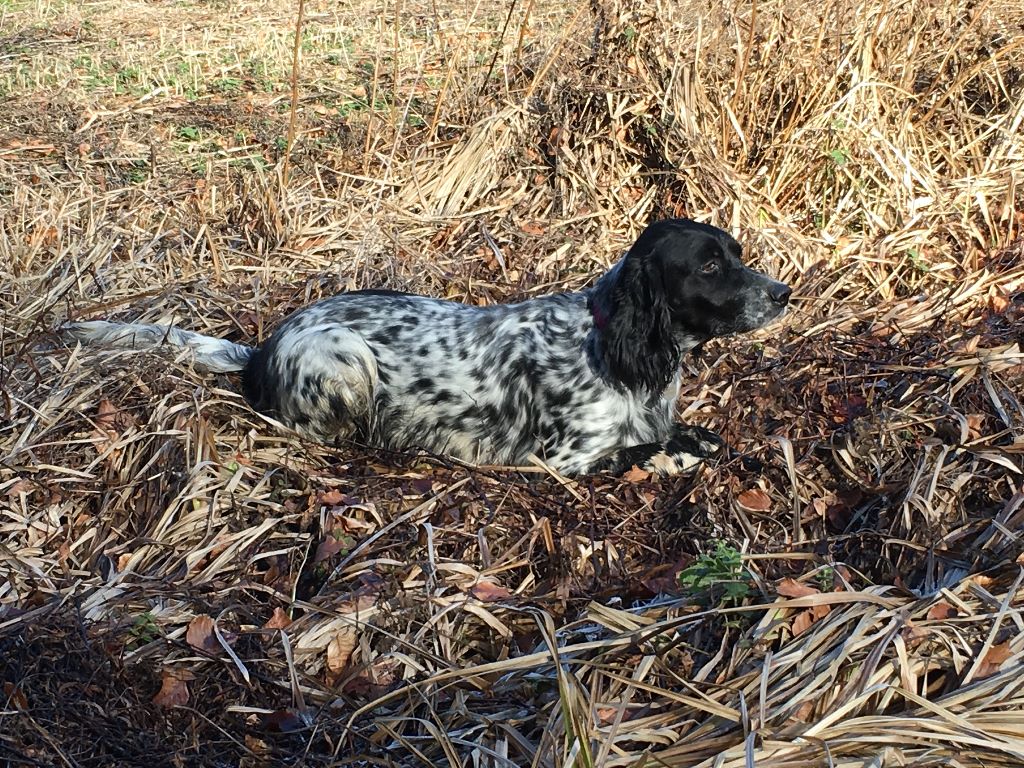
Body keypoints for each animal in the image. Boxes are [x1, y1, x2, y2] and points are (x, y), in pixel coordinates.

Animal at [66, 218, 790, 475]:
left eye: (736, 254)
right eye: (708, 266)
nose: (784, 292)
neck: (610, 343)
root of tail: (263, 349)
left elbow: (691, 435)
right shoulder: (562, 459)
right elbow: (642, 452)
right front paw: (678, 456)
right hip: (344, 358)